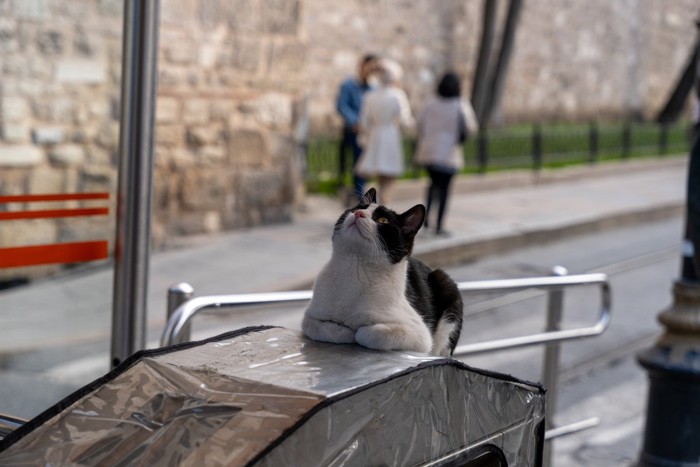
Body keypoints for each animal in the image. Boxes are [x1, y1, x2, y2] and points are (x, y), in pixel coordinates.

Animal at [302, 188, 462, 356]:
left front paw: (359, 331)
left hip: (446, 283)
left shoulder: (421, 336)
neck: (355, 269)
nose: (358, 213)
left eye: (383, 220)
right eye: (355, 209)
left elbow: (377, 334)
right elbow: (317, 327)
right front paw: (344, 331)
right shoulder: (310, 316)